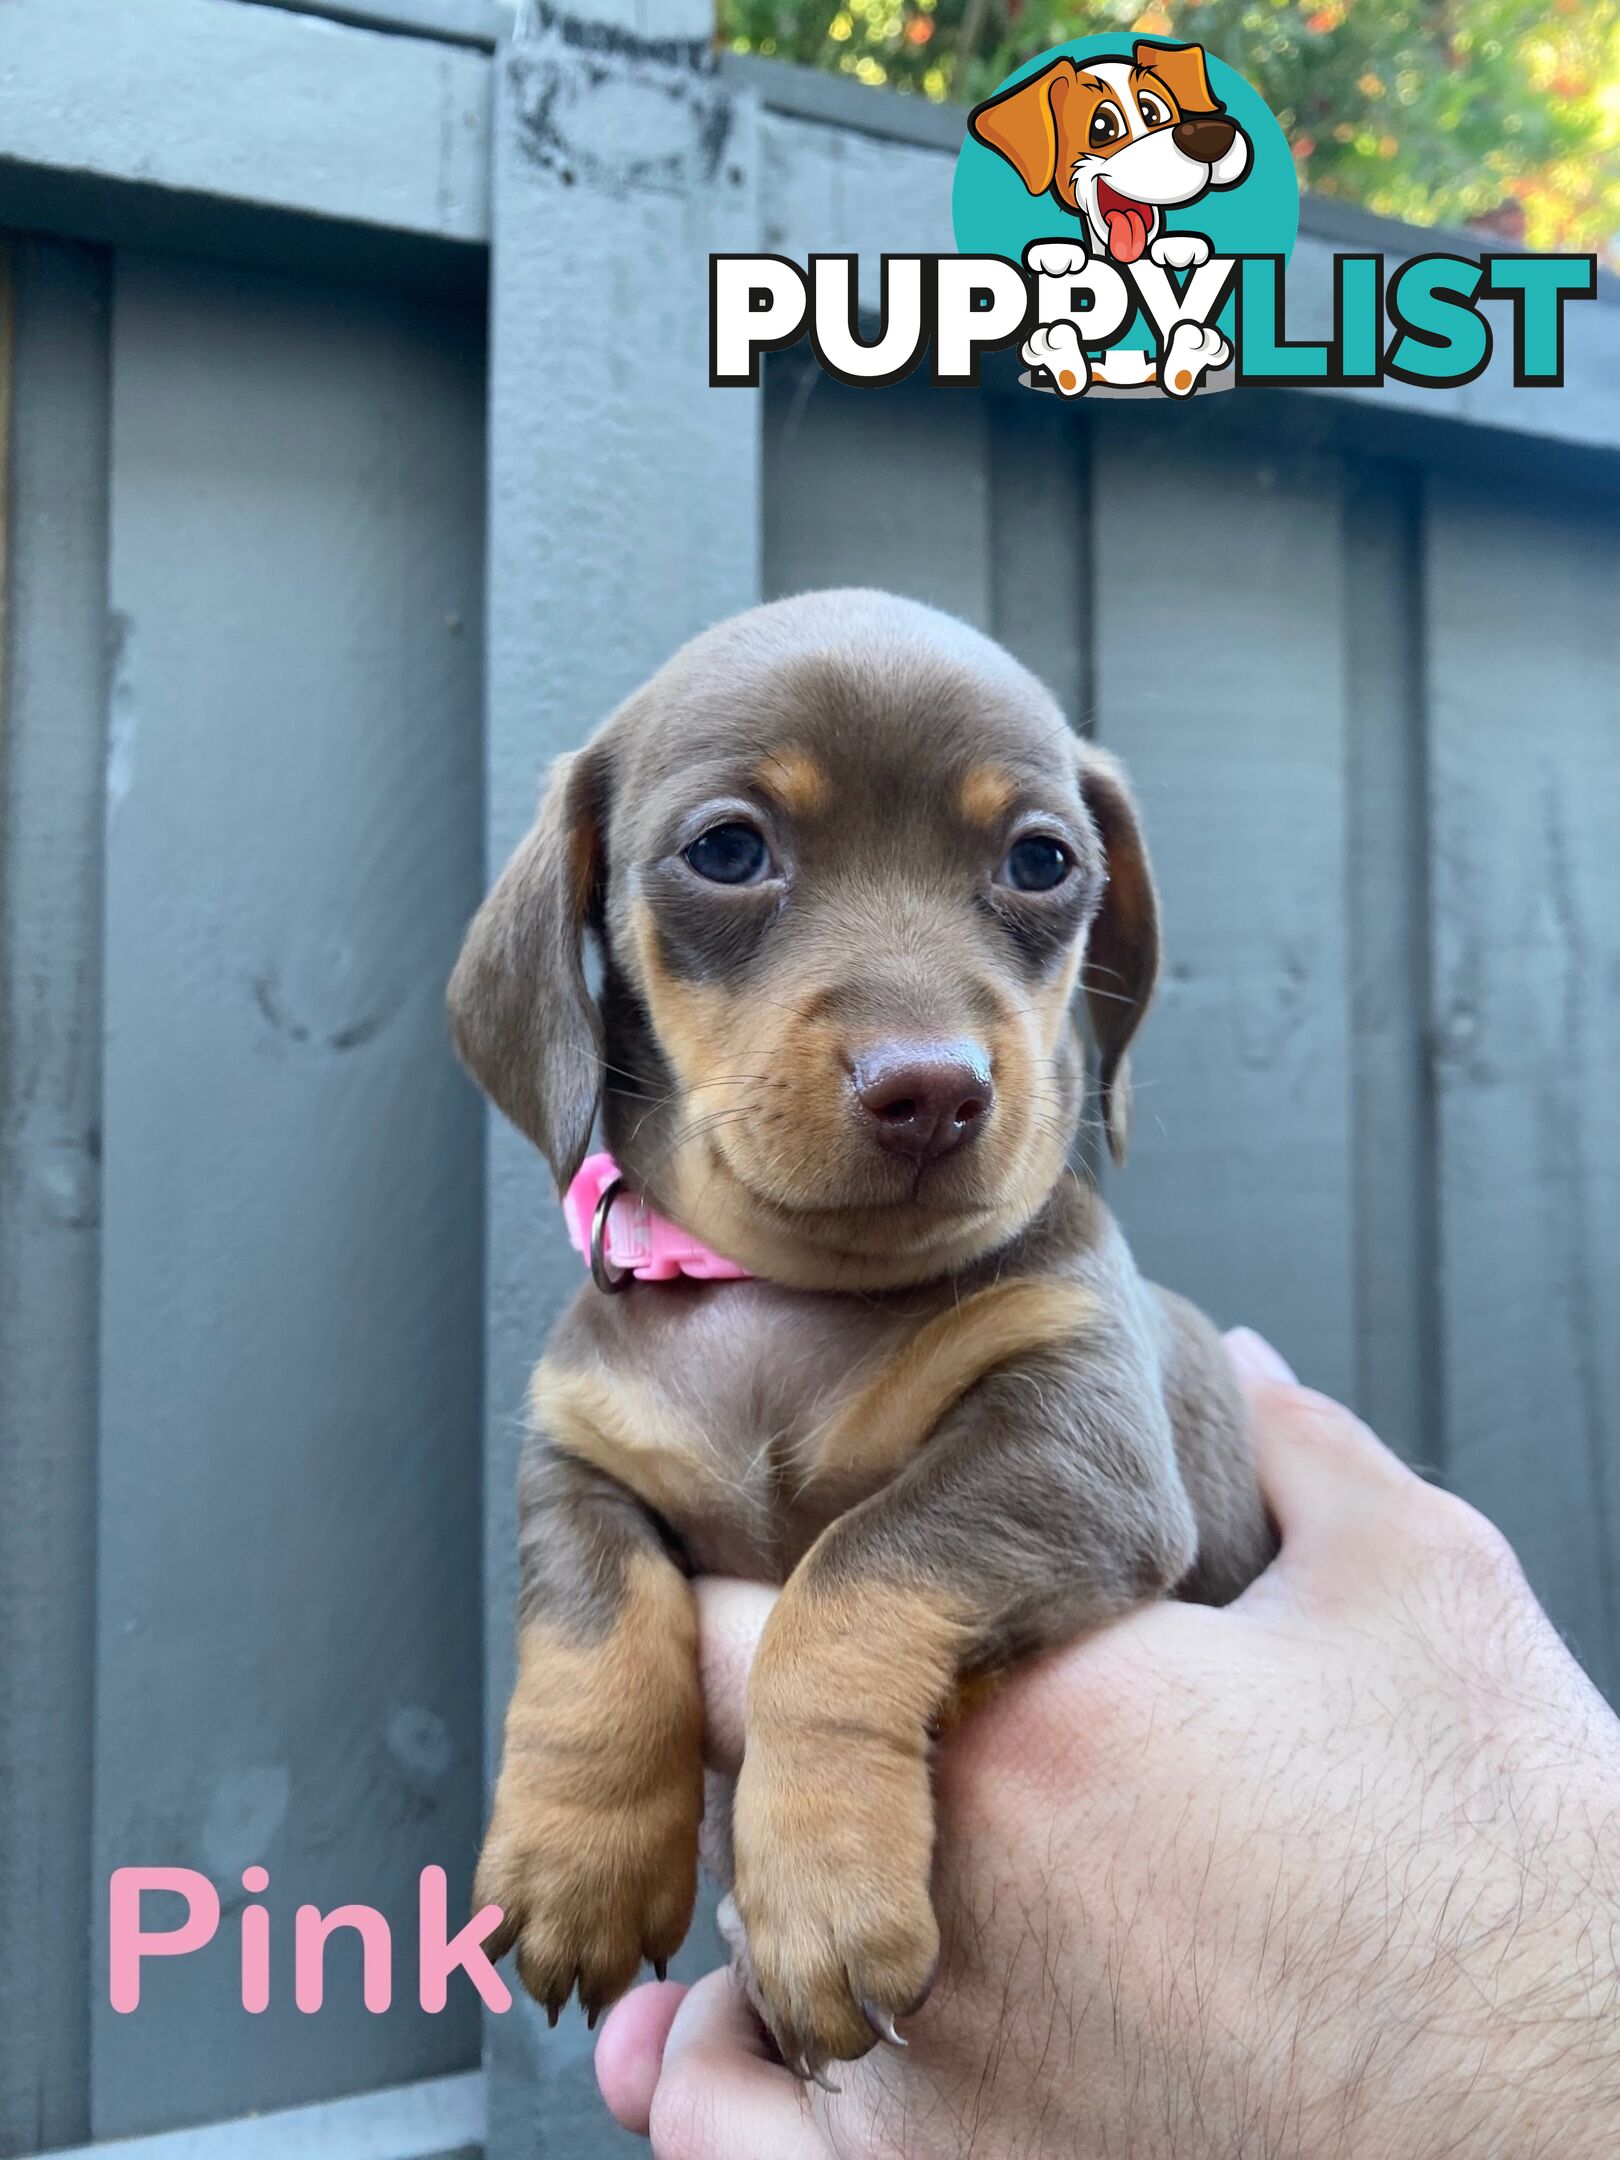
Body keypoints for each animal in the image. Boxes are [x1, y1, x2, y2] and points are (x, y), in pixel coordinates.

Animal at [451, 587, 1278, 2073]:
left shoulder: (1074, 1446)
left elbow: (853, 1575)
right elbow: (594, 1615)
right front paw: (576, 1859)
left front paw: (822, 1890)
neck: (797, 1292)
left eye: (1041, 859)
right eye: (728, 849)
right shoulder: (581, 1457)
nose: (931, 1090)